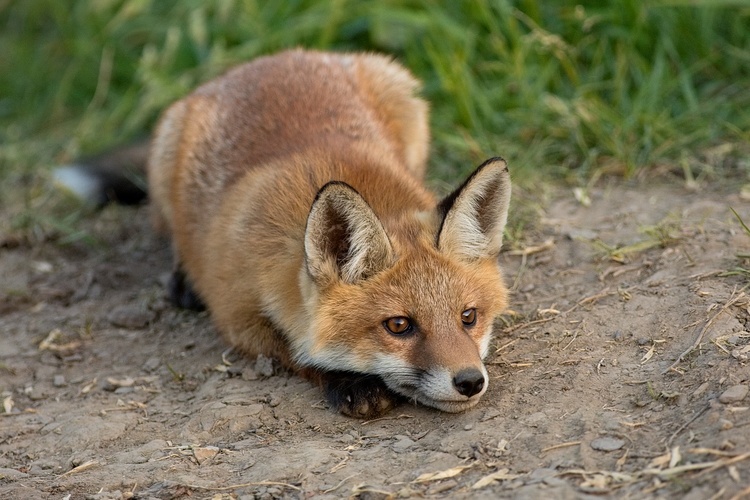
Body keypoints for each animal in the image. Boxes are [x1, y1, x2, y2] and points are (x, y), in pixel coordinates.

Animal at [55, 49, 516, 418]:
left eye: (469, 317)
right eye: (399, 325)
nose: (470, 381)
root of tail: (268, 59)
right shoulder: (235, 311)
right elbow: (295, 349)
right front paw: (351, 383)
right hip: (165, 160)